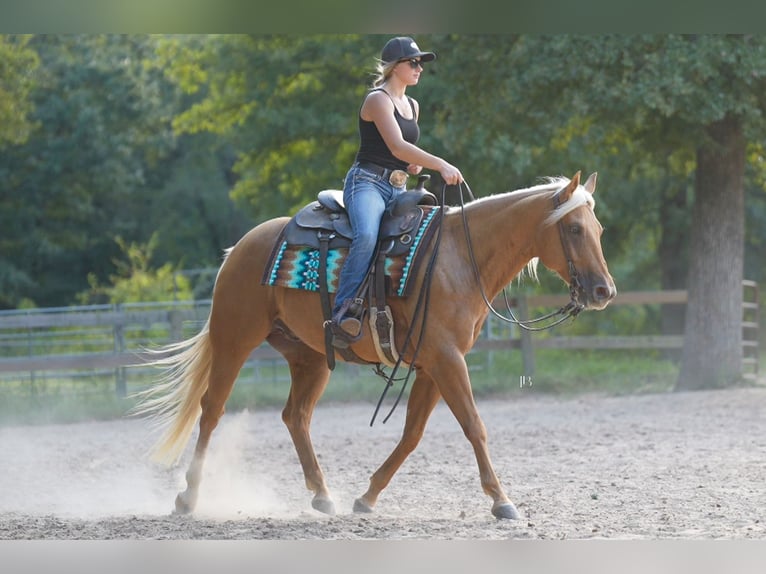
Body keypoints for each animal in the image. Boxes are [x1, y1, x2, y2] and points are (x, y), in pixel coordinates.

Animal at [134, 170, 616, 520]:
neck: (460, 258)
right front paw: (502, 501)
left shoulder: (434, 364)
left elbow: (412, 434)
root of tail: (239, 248)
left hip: (310, 356)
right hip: (234, 339)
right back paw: (188, 498)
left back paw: (323, 495)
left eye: (599, 229)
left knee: (296, 416)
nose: (603, 291)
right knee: (212, 409)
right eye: (574, 228)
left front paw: (367, 497)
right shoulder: (447, 360)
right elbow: (474, 426)